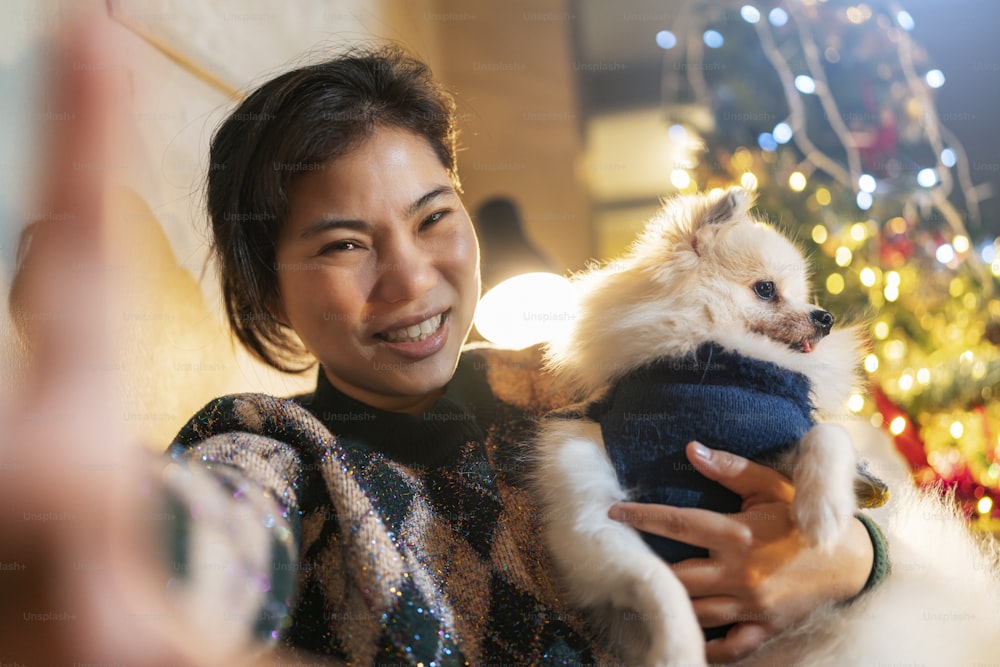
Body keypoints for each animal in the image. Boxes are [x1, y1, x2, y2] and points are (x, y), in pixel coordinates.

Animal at [532, 188, 876, 667]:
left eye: (804, 296)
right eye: (766, 289)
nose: (824, 317)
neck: (714, 375)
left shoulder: (768, 448)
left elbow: (827, 433)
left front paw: (823, 510)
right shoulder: (593, 517)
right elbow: (660, 584)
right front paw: (677, 651)